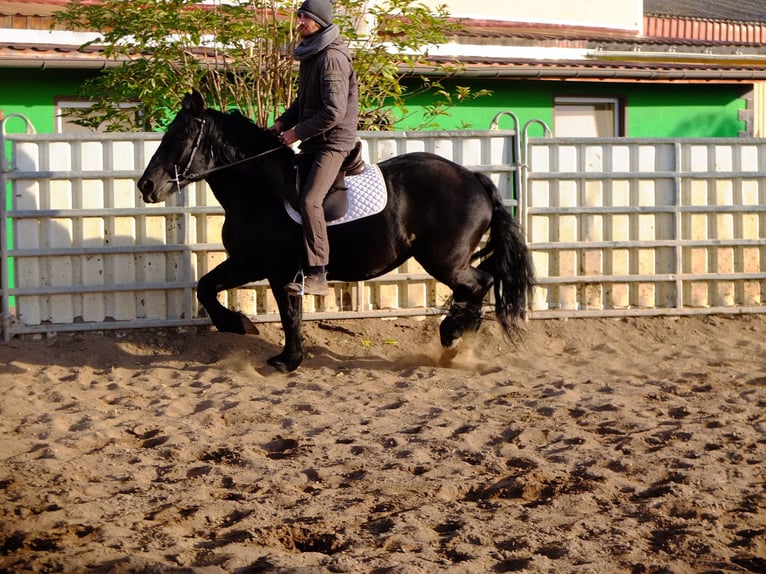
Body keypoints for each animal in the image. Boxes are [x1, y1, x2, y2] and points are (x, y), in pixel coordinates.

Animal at [138, 92, 536, 374]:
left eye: (179, 137)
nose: (146, 186)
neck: (262, 192)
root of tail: (473, 178)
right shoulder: (246, 263)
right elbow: (205, 286)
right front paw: (239, 324)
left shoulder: (279, 271)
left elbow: (290, 315)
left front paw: (287, 360)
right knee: (477, 285)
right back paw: (455, 340)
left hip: (445, 260)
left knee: (479, 283)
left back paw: (453, 336)